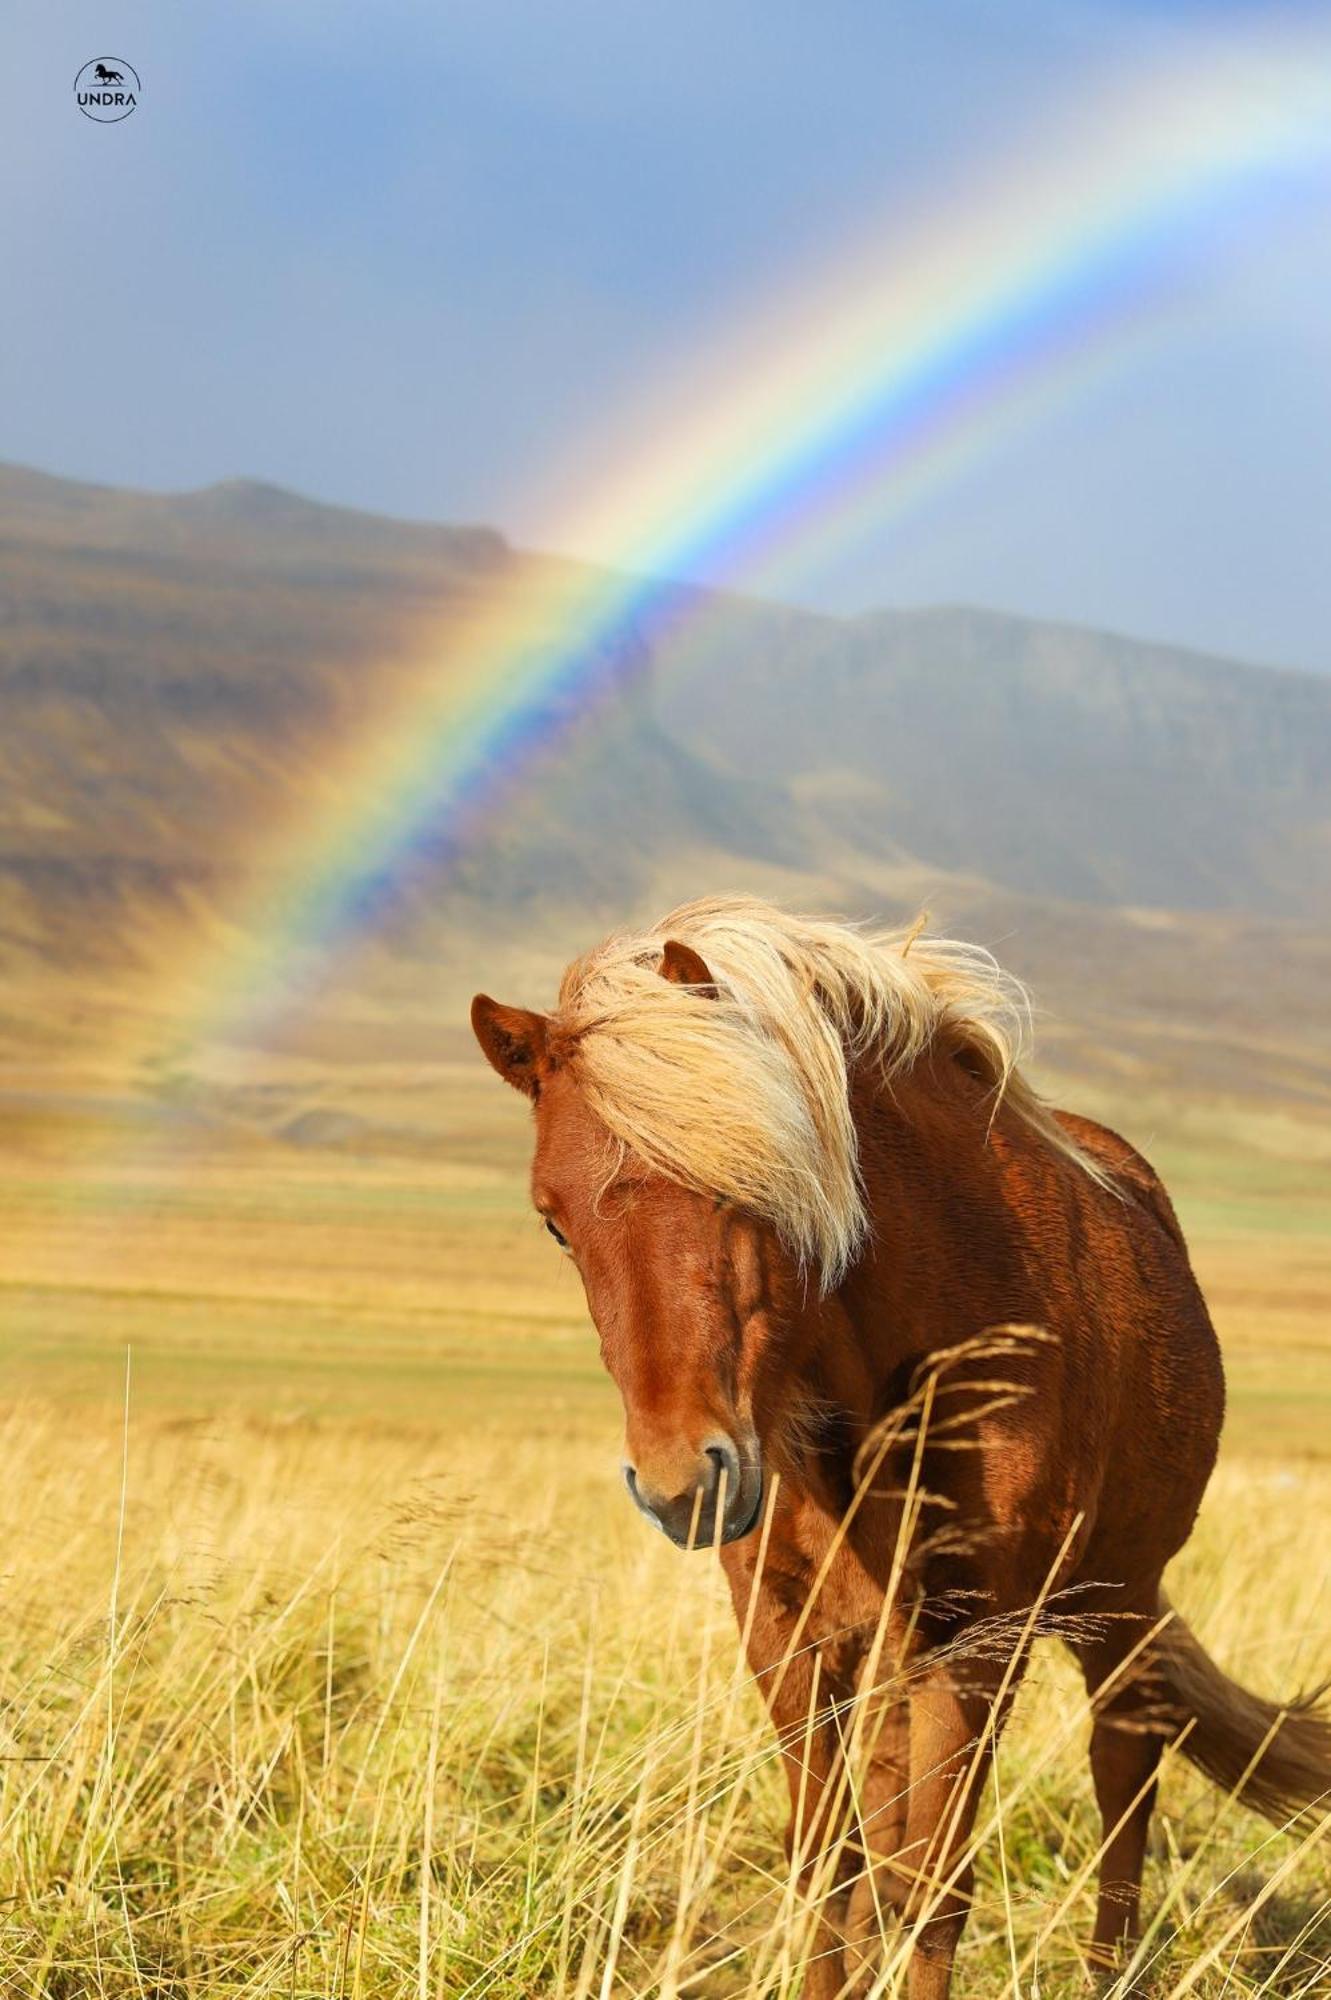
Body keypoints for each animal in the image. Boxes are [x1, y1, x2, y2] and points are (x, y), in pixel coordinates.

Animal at [469, 900, 1327, 1992]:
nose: (680, 1485)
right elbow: (830, 1874)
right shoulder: (786, 1632)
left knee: (1122, 1771)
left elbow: (932, 1894)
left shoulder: (978, 1641)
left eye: (745, 1186)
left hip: (1117, 1595)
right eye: (553, 1222)